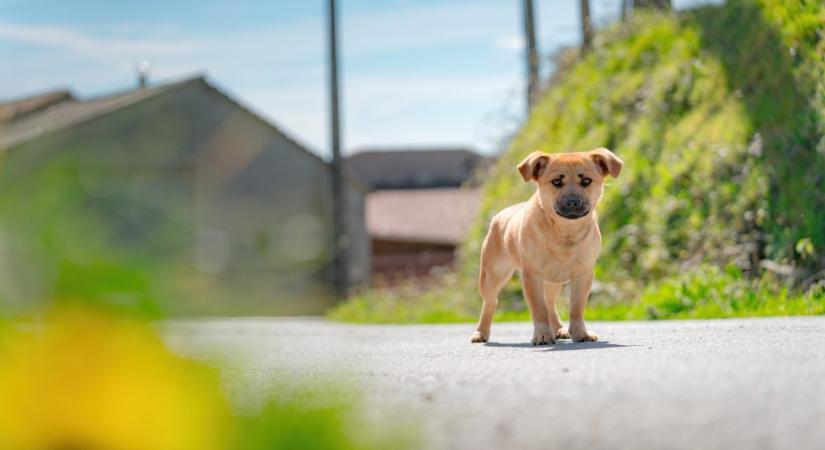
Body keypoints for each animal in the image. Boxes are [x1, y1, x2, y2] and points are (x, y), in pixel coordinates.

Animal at [466, 148, 620, 344]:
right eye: (556, 182)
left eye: (586, 181)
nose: (572, 201)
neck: (564, 231)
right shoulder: (532, 276)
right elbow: (538, 309)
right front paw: (542, 334)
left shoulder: (583, 274)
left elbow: (576, 308)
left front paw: (580, 332)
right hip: (492, 275)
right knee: (490, 302)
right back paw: (481, 332)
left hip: (553, 281)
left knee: (550, 303)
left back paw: (560, 329)